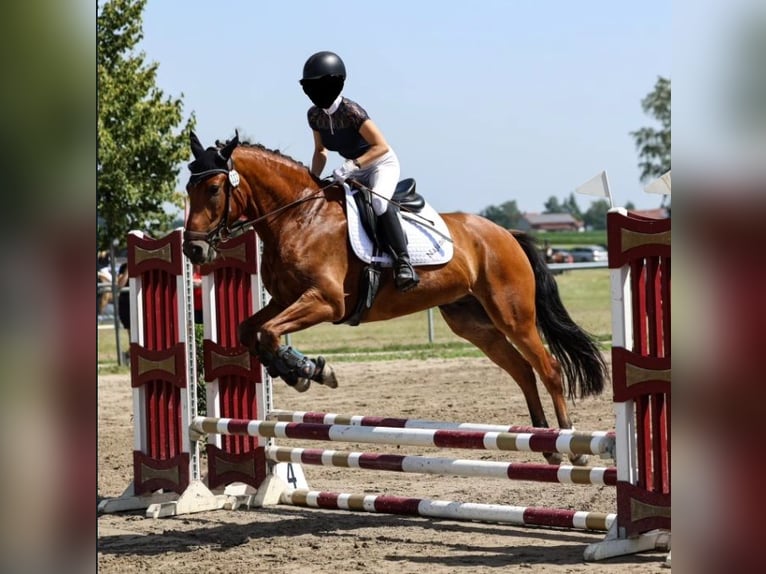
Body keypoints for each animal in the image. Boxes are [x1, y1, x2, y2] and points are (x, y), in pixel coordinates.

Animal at [183, 132, 608, 468]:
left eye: (214, 189)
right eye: (188, 189)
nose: (193, 250)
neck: (300, 217)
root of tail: (505, 233)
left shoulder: (326, 302)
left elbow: (270, 333)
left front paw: (308, 371)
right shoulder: (285, 299)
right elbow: (250, 330)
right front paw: (300, 370)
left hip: (512, 315)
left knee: (548, 368)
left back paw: (572, 447)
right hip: (473, 323)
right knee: (522, 371)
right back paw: (546, 444)